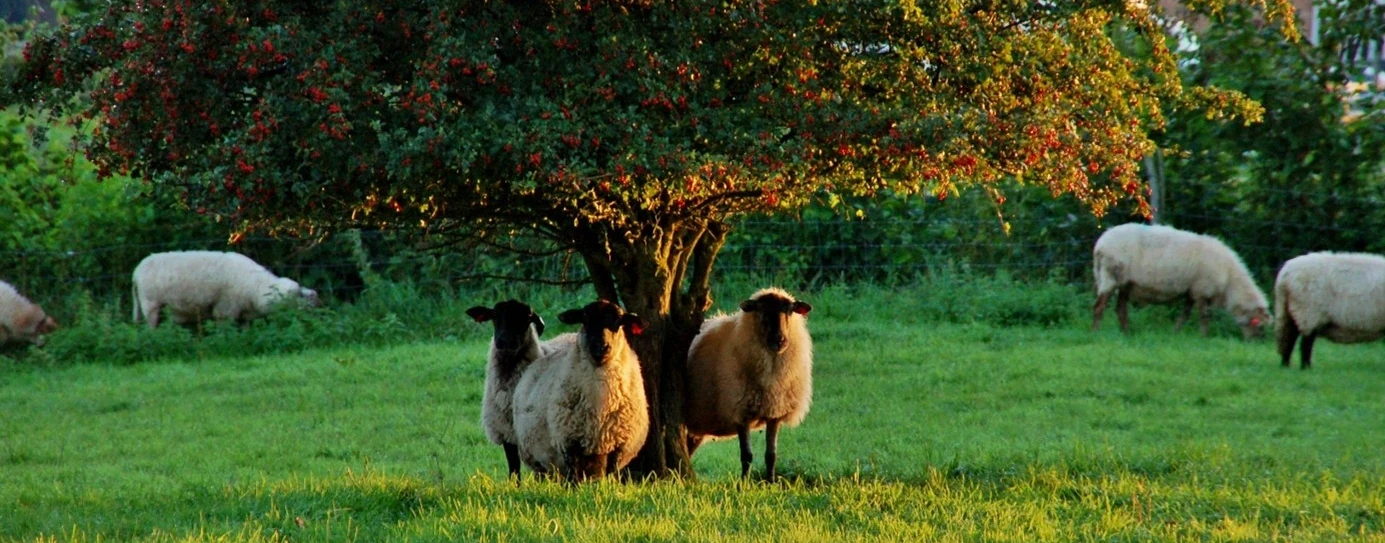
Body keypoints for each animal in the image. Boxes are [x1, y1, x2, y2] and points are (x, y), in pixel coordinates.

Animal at [130, 249, 317, 326]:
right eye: (299, 294)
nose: (316, 296)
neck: (256, 288)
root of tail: (136, 272)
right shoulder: (225, 311)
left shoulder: (244, 314)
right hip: (151, 305)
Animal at [468, 299, 548, 482]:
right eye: (495, 315)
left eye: (527, 317)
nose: (505, 341)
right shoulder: (505, 430)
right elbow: (514, 467)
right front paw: (514, 486)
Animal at [509, 299, 648, 482]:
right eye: (585, 319)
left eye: (618, 321)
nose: (600, 348)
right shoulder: (569, 442)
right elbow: (574, 480)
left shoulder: (619, 445)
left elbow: (611, 475)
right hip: (539, 461)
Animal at [684, 286, 808, 482]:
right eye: (761, 311)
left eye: (789, 310)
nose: (779, 340)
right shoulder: (740, 412)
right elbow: (746, 455)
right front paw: (743, 483)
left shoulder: (774, 412)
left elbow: (771, 455)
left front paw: (771, 482)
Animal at [1085, 223, 1268, 336]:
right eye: (1259, 326)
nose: (1252, 343)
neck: (1230, 282)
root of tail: (1100, 244)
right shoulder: (1202, 290)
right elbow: (1204, 316)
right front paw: (1204, 336)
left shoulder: (1192, 291)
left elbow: (1185, 315)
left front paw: (1176, 333)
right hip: (1110, 276)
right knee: (1099, 306)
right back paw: (1095, 332)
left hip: (1125, 283)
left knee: (1120, 310)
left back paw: (1127, 333)